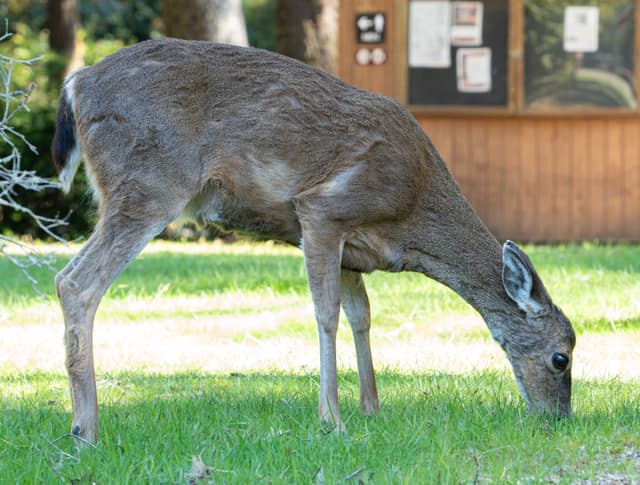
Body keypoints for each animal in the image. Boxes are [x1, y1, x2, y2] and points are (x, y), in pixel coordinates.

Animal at [52, 38, 576, 443]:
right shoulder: (323, 210)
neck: (410, 219)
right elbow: (326, 315)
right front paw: (332, 420)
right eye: (560, 357)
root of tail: (76, 83)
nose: (559, 420)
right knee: (76, 282)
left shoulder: (353, 250)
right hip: (150, 180)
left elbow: (362, 316)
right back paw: (86, 430)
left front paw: (372, 410)